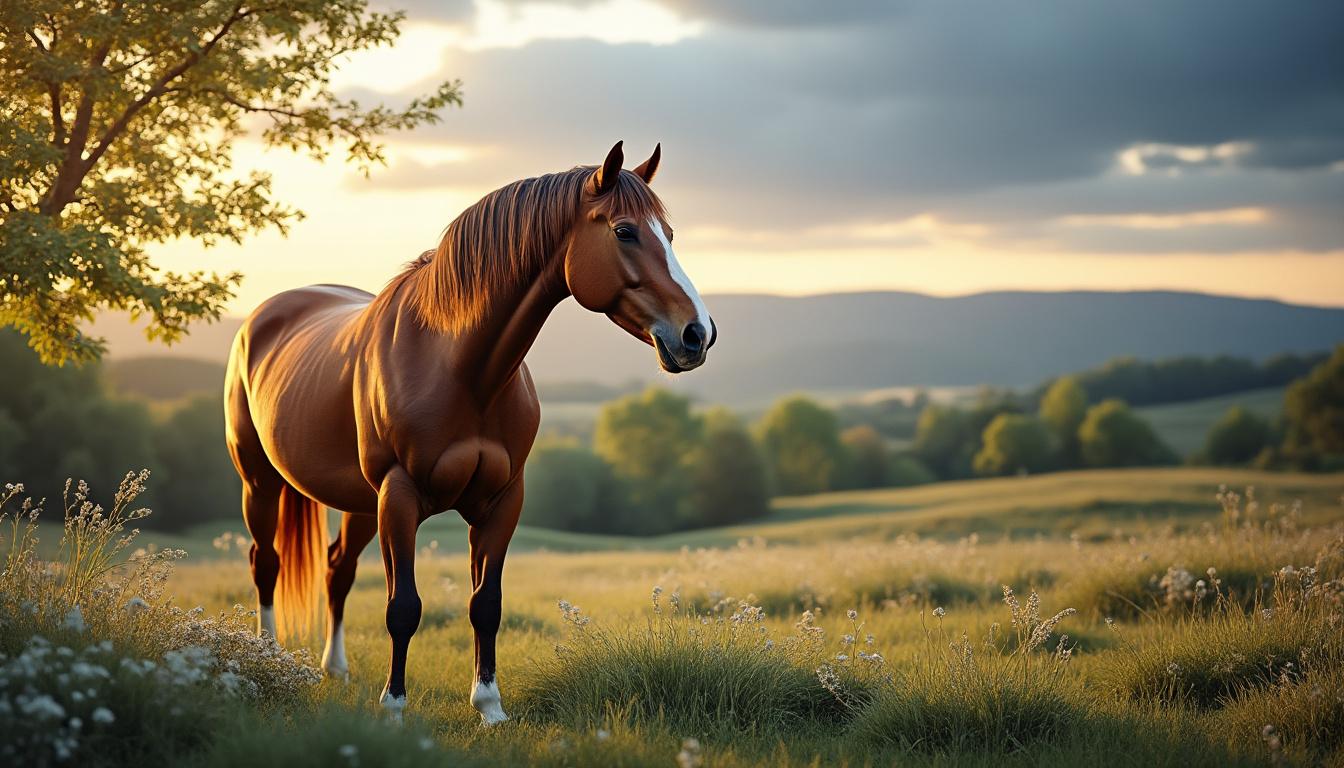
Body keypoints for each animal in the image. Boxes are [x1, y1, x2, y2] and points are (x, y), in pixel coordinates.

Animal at [223, 141, 714, 723]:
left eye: (670, 233)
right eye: (624, 231)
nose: (698, 334)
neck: (459, 366)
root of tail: (264, 315)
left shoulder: (501, 501)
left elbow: (486, 604)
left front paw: (489, 705)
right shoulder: (400, 497)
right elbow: (403, 608)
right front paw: (394, 707)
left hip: (360, 503)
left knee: (337, 569)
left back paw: (335, 670)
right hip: (261, 483)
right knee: (266, 563)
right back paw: (267, 656)